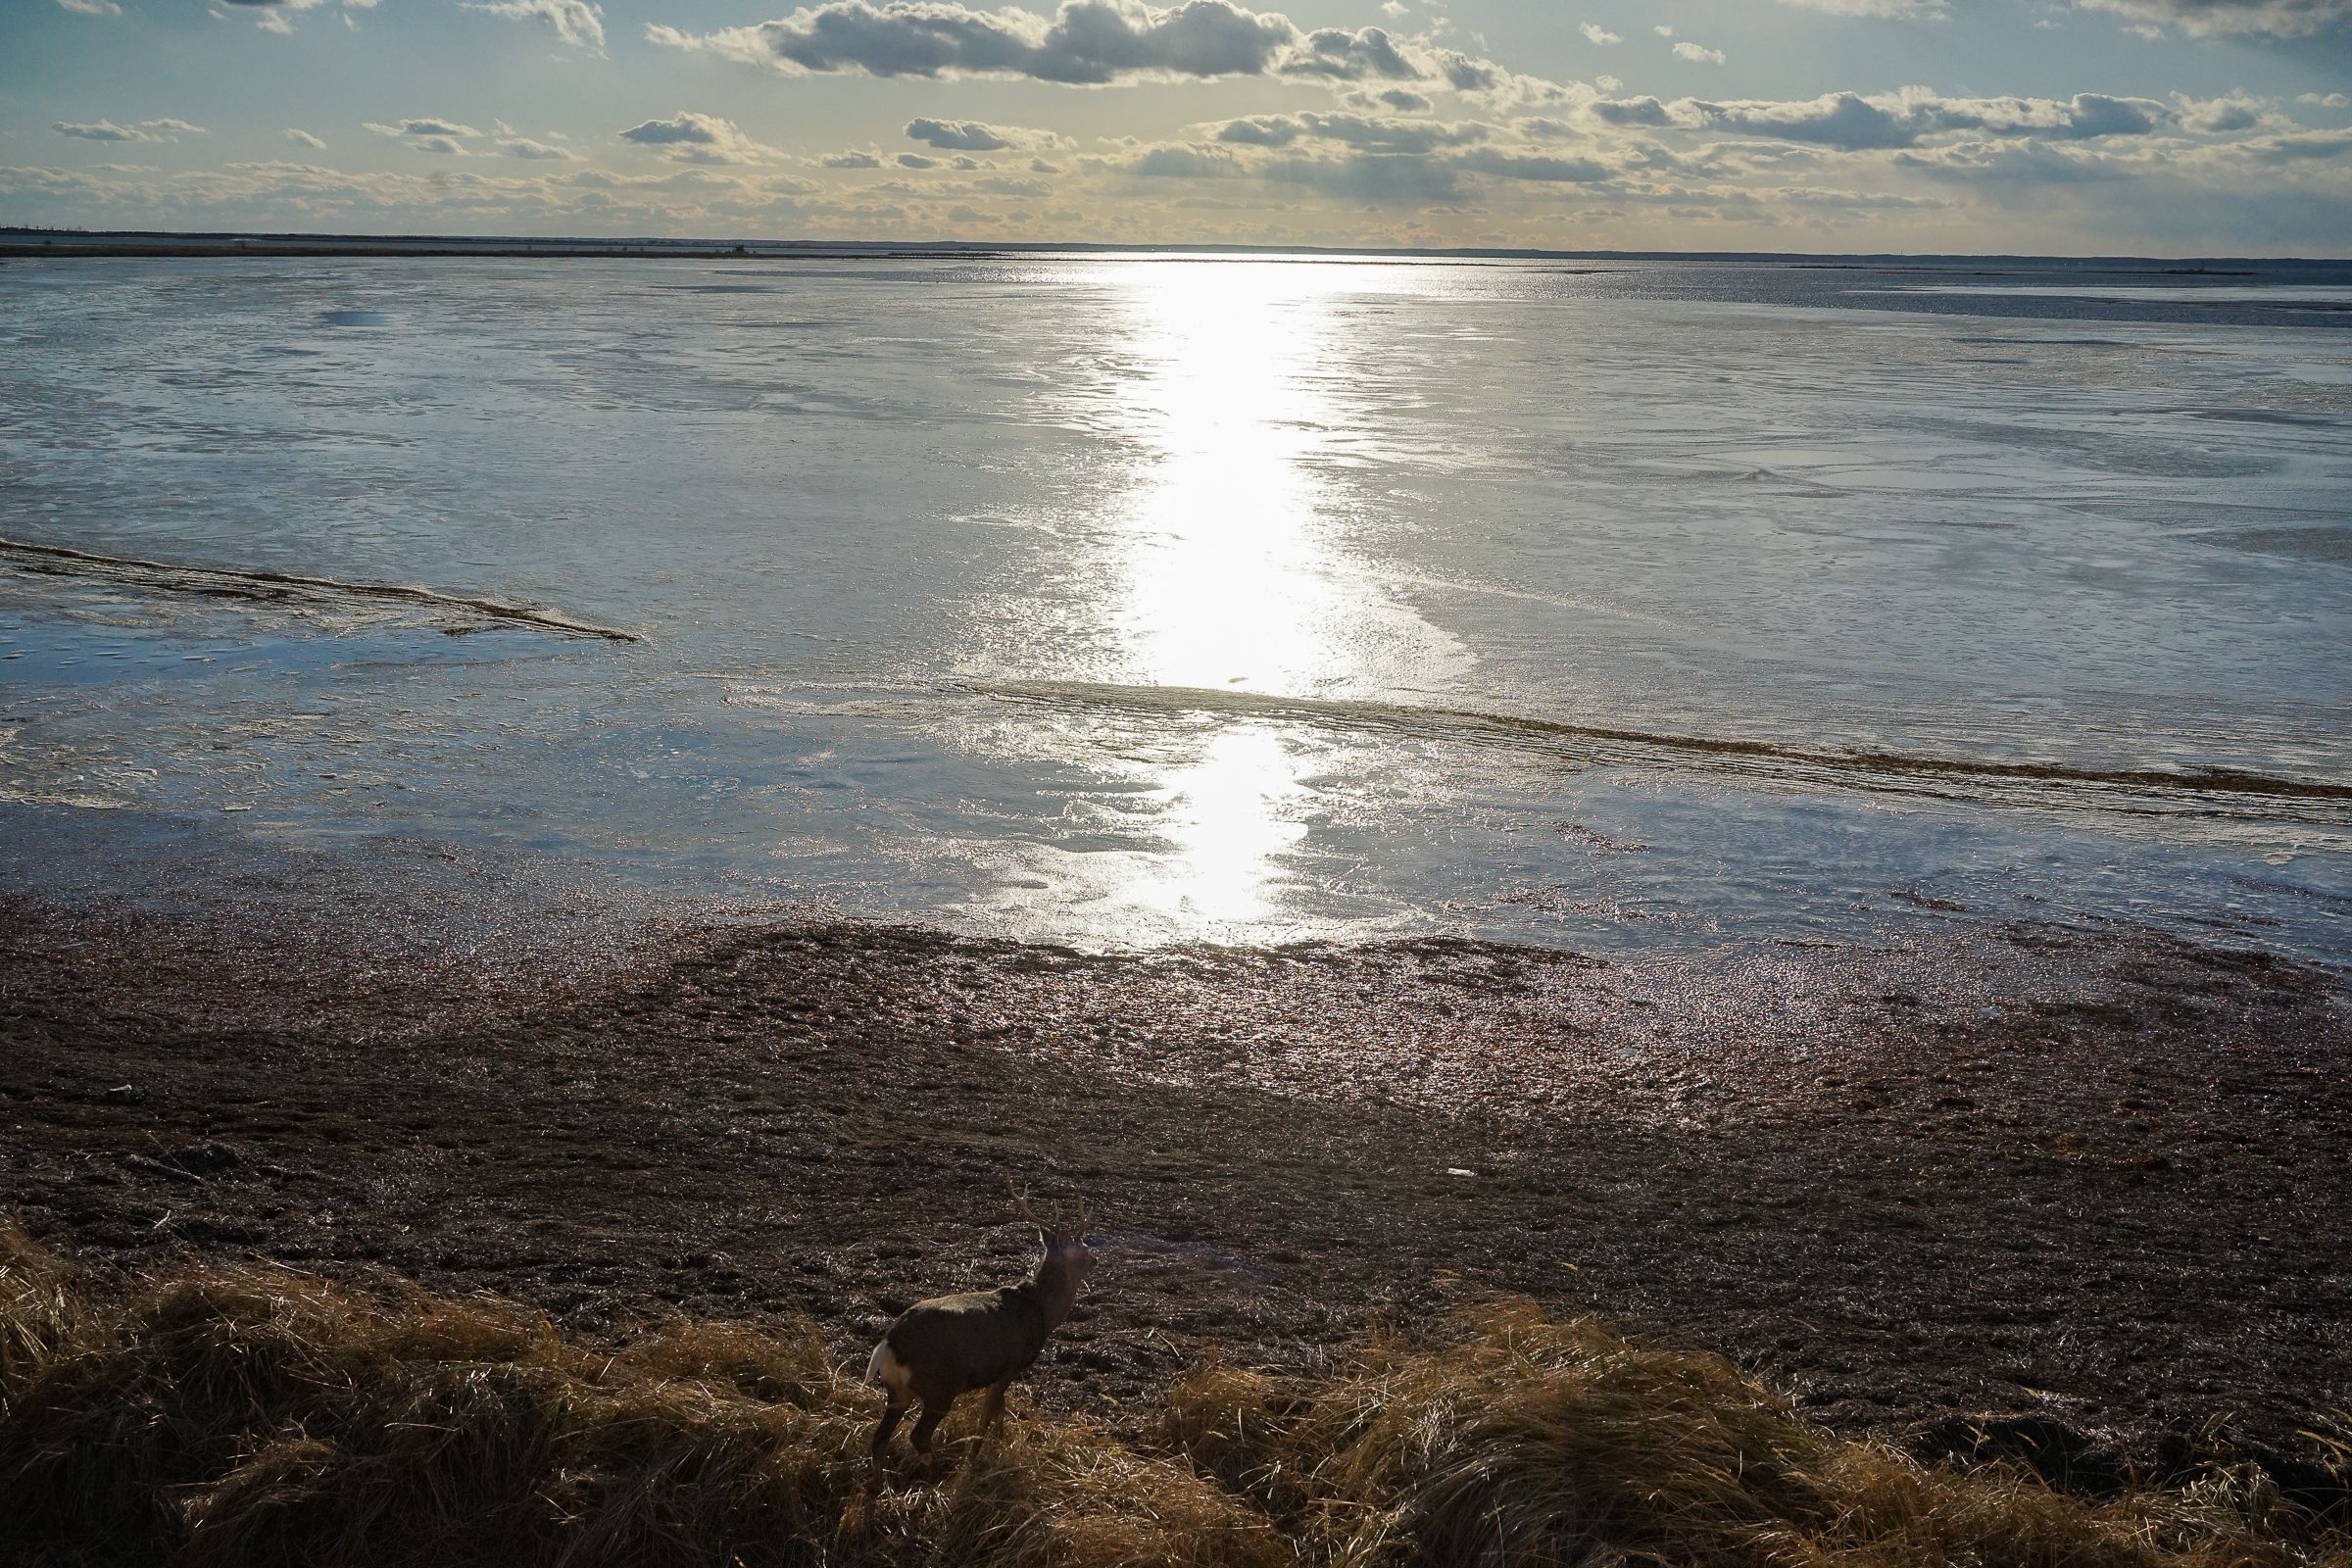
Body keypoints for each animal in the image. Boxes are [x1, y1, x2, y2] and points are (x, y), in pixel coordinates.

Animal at [866, 1183, 1095, 1469]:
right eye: (1083, 1249)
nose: (1094, 1260)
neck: (1042, 1311)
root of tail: (889, 1344)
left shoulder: (996, 1373)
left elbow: (1000, 1411)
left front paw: (999, 1443)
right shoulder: (1011, 1365)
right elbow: (987, 1417)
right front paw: (975, 1457)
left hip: (898, 1390)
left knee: (880, 1438)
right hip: (940, 1384)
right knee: (918, 1435)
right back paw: (938, 1469)